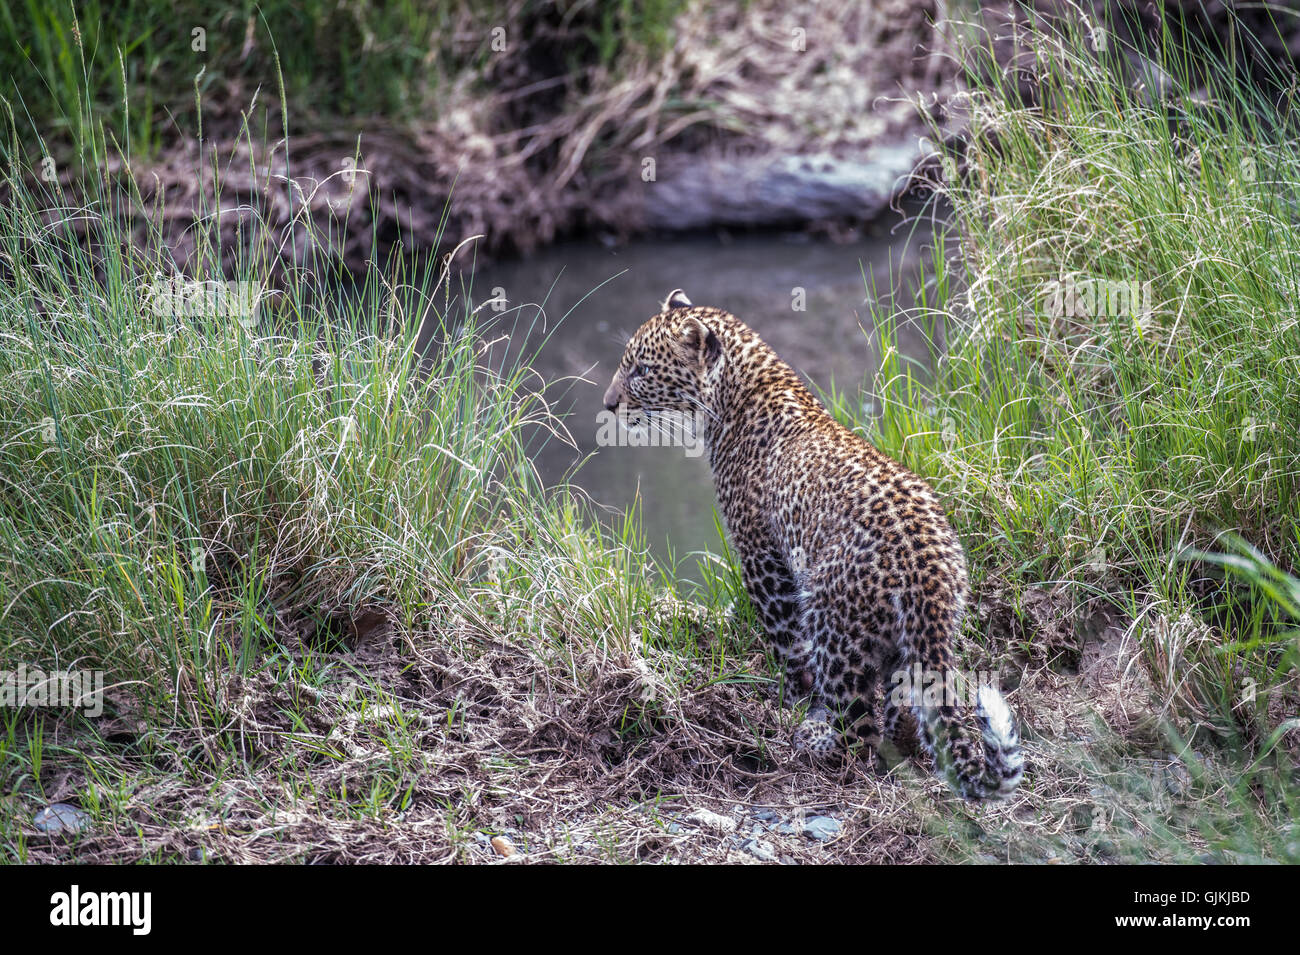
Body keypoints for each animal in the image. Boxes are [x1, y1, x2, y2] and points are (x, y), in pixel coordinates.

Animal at [602, 289, 1024, 800]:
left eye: (642, 370)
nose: (608, 404)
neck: (736, 394)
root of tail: (925, 566)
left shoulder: (761, 555)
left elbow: (785, 639)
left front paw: (792, 698)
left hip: (833, 622)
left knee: (858, 729)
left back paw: (819, 744)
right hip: (921, 634)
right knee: (905, 708)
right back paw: (898, 747)